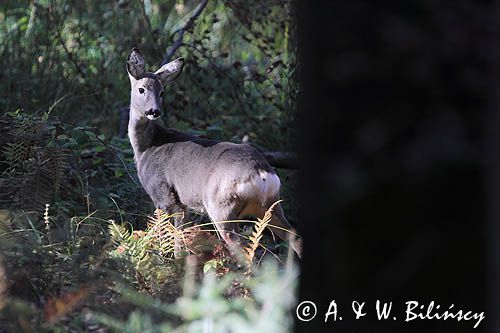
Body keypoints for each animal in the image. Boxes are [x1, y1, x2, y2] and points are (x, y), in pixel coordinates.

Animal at [127, 47, 302, 256]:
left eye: (162, 92)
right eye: (142, 89)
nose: (154, 111)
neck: (147, 147)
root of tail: (262, 173)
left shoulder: (163, 195)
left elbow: (169, 238)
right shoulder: (180, 203)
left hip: (221, 207)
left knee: (241, 247)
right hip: (271, 206)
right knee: (295, 237)